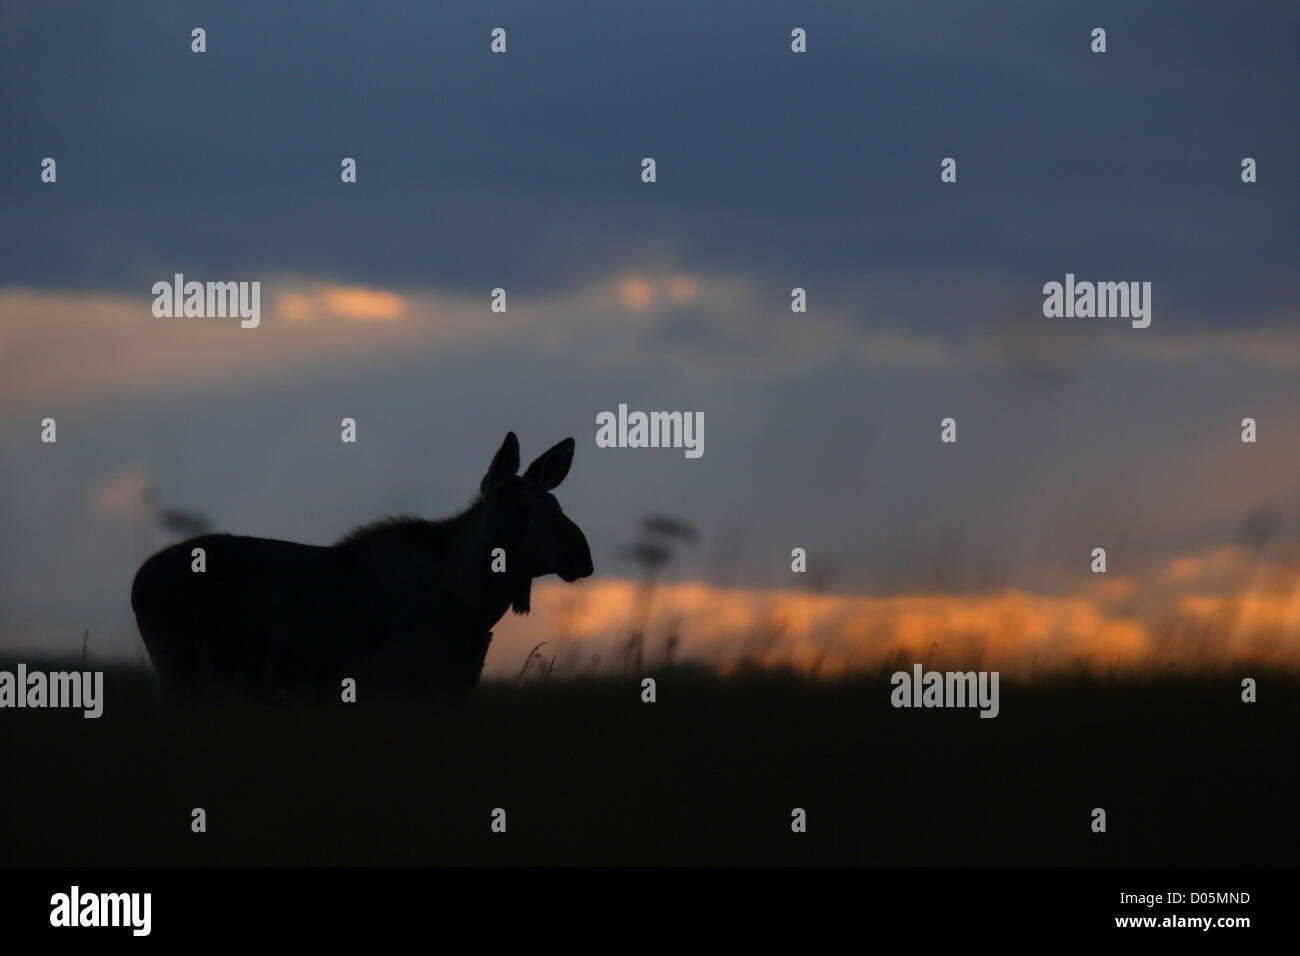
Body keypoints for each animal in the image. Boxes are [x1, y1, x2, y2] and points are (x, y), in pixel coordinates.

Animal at [129, 434, 592, 702]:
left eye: (556, 504)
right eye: (521, 511)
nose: (582, 555)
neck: (471, 606)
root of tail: (138, 582)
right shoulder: (383, 687)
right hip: (180, 675)